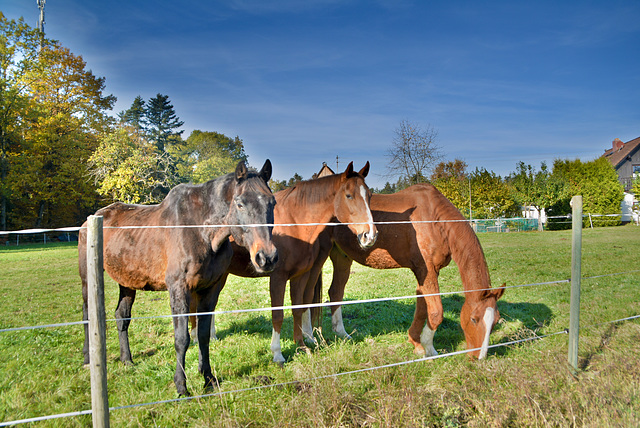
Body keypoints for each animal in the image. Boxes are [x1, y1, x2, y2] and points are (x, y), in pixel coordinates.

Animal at [78, 160, 278, 394]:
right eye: (240, 204)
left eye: (272, 202)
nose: (266, 258)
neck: (201, 231)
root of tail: (88, 222)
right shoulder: (179, 288)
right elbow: (182, 338)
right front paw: (181, 386)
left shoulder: (210, 289)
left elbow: (202, 335)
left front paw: (208, 378)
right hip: (87, 279)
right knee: (87, 314)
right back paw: (87, 359)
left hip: (126, 282)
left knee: (122, 316)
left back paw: (127, 360)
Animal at [198, 162, 378, 362]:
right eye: (349, 195)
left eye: (369, 196)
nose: (370, 235)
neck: (295, 224)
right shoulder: (278, 277)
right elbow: (278, 314)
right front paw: (277, 353)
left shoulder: (300, 275)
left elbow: (298, 309)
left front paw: (301, 346)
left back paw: (212, 337)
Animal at [310, 182, 504, 360]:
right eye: (474, 319)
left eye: (495, 321)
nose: (479, 358)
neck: (435, 220)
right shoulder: (426, 271)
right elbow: (435, 312)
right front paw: (429, 349)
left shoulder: (427, 272)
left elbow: (422, 308)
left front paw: (416, 344)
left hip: (342, 256)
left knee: (336, 292)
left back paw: (342, 334)